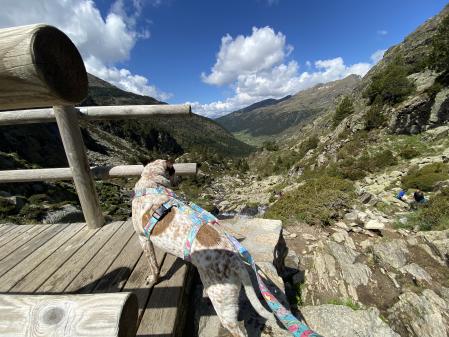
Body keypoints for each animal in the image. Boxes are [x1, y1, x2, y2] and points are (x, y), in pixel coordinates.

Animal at [131, 159, 272, 336]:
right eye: (175, 171)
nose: (180, 179)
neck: (151, 183)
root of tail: (235, 260)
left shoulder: (143, 239)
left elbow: (154, 266)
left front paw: (153, 279)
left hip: (221, 301)